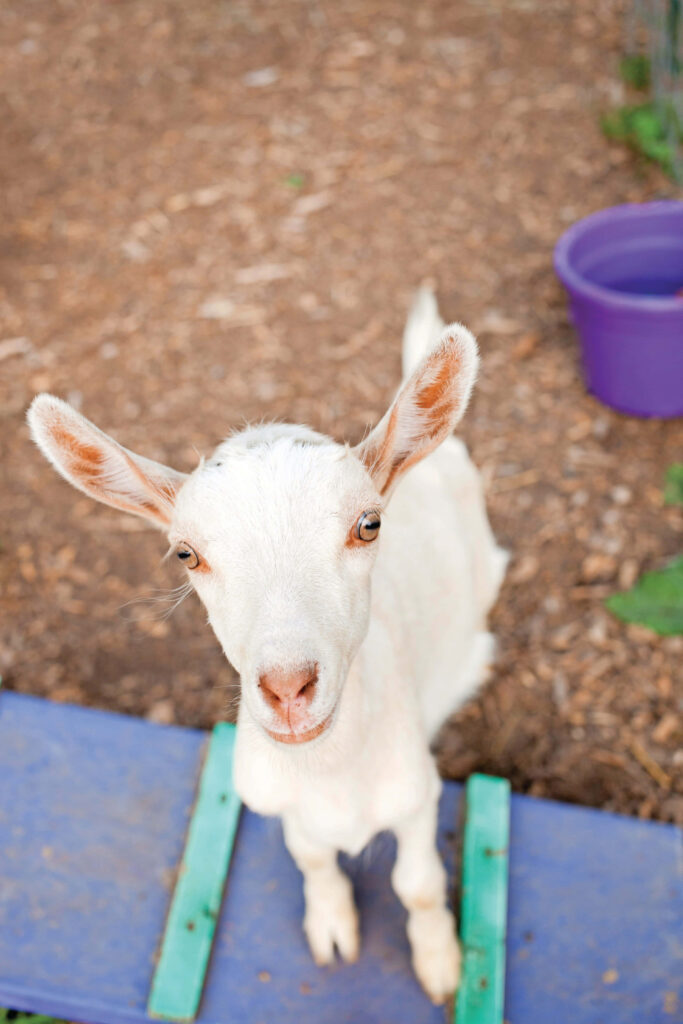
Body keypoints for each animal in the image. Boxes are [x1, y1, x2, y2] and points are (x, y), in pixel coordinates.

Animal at [28, 289, 507, 1003]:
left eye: (369, 524)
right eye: (187, 553)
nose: (287, 689)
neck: (331, 773)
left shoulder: (418, 794)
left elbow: (417, 884)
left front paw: (440, 963)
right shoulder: (280, 801)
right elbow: (310, 856)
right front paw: (332, 926)